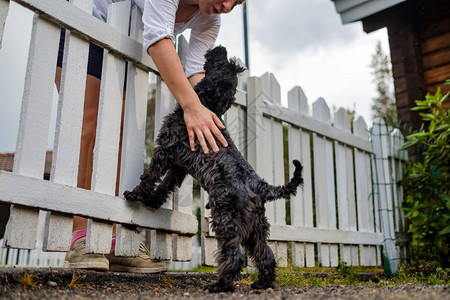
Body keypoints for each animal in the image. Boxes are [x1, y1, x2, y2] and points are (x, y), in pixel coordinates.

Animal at [125, 47, 304, 292]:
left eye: (222, 63)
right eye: (228, 64)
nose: (220, 48)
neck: (207, 105)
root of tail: (262, 187)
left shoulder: (165, 150)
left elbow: (150, 176)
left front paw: (135, 195)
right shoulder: (179, 167)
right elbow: (165, 186)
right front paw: (152, 201)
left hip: (226, 221)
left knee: (235, 257)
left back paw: (219, 285)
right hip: (256, 228)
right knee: (265, 255)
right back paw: (262, 283)